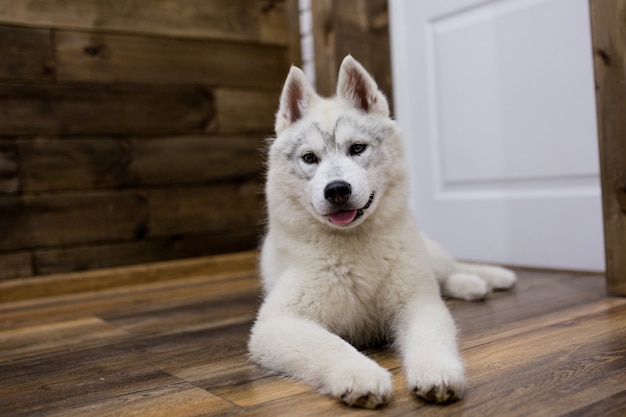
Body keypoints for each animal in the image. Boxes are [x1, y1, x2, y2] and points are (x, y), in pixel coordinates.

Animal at [246, 54, 516, 406]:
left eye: (357, 149)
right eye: (309, 158)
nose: (336, 190)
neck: (354, 245)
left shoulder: (418, 303)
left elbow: (430, 335)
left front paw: (437, 372)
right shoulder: (276, 323)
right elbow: (330, 345)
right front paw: (360, 375)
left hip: (425, 258)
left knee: (449, 269)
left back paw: (487, 278)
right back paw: (473, 284)